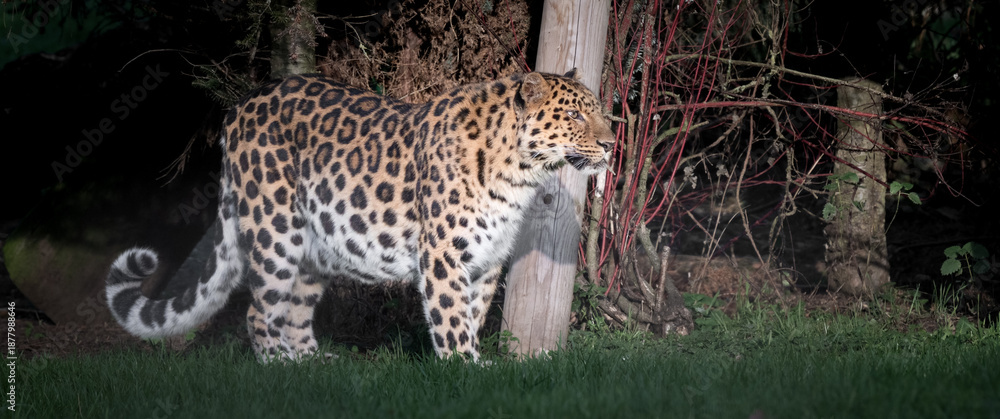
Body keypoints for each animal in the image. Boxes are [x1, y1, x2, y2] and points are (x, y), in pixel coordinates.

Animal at [105, 70, 614, 362]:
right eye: (574, 115)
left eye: (597, 111)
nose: (611, 143)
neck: (520, 172)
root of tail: (238, 109)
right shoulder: (443, 255)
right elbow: (451, 319)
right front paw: (464, 372)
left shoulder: (487, 260)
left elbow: (471, 314)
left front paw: (481, 369)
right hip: (275, 230)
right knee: (257, 311)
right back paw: (278, 368)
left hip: (315, 249)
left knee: (294, 311)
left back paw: (315, 366)